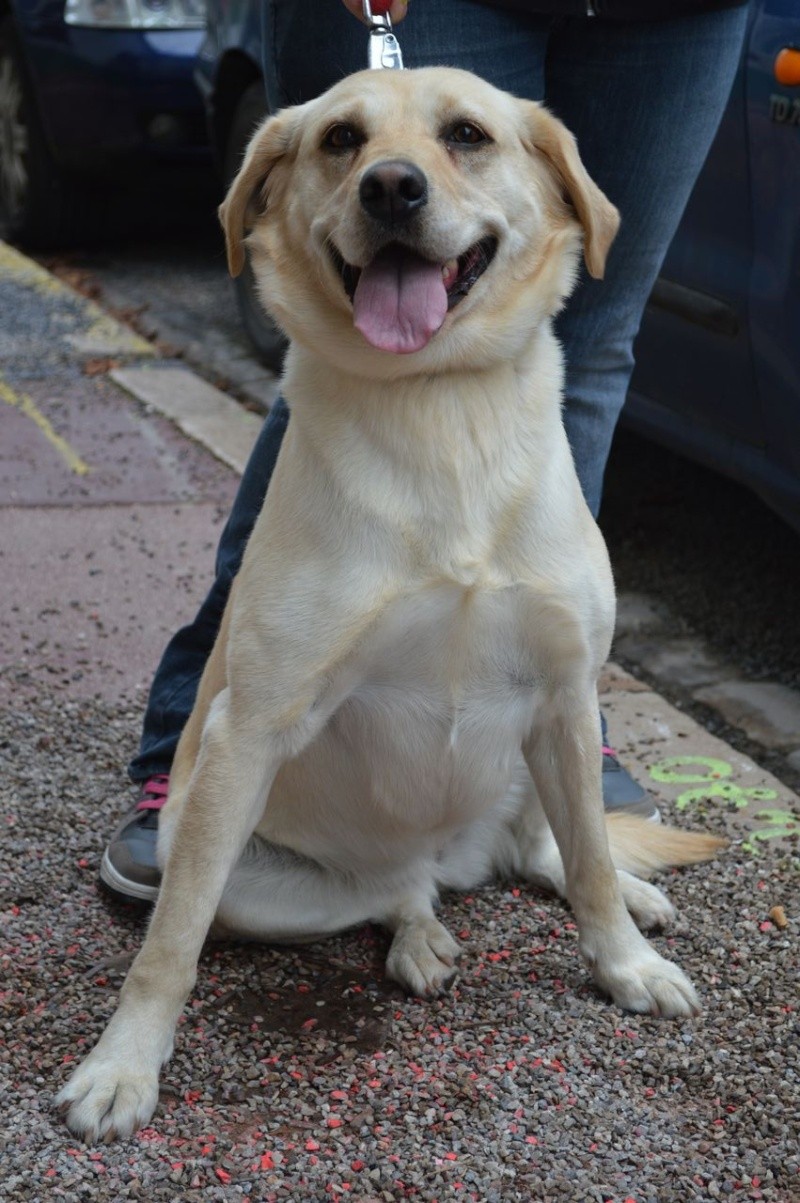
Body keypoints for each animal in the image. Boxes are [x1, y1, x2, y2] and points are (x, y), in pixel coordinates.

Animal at [56, 70, 721, 1140]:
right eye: (340, 140)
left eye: (467, 135)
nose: (392, 188)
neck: (438, 403)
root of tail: (454, 856)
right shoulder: (249, 731)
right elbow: (170, 944)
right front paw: (123, 1066)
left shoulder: (568, 693)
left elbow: (583, 865)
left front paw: (626, 962)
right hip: (236, 850)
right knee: (395, 892)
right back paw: (421, 934)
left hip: (549, 750)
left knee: (544, 846)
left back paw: (627, 892)